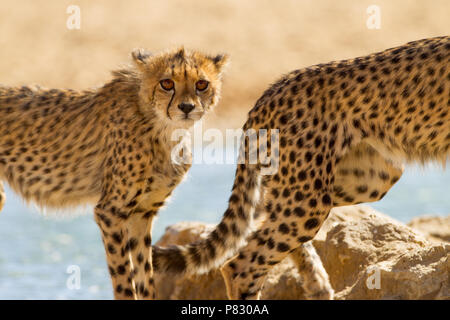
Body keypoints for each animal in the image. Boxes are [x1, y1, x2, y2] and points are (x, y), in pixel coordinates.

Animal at [0, 47, 229, 300]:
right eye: (167, 83)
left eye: (201, 84)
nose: (186, 107)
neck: (163, 128)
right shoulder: (110, 211)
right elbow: (123, 277)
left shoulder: (142, 213)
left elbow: (144, 272)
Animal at [153, 36, 448, 298]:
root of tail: (271, 90)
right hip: (310, 195)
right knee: (241, 266)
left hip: (363, 180)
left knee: (265, 217)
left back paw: (317, 283)